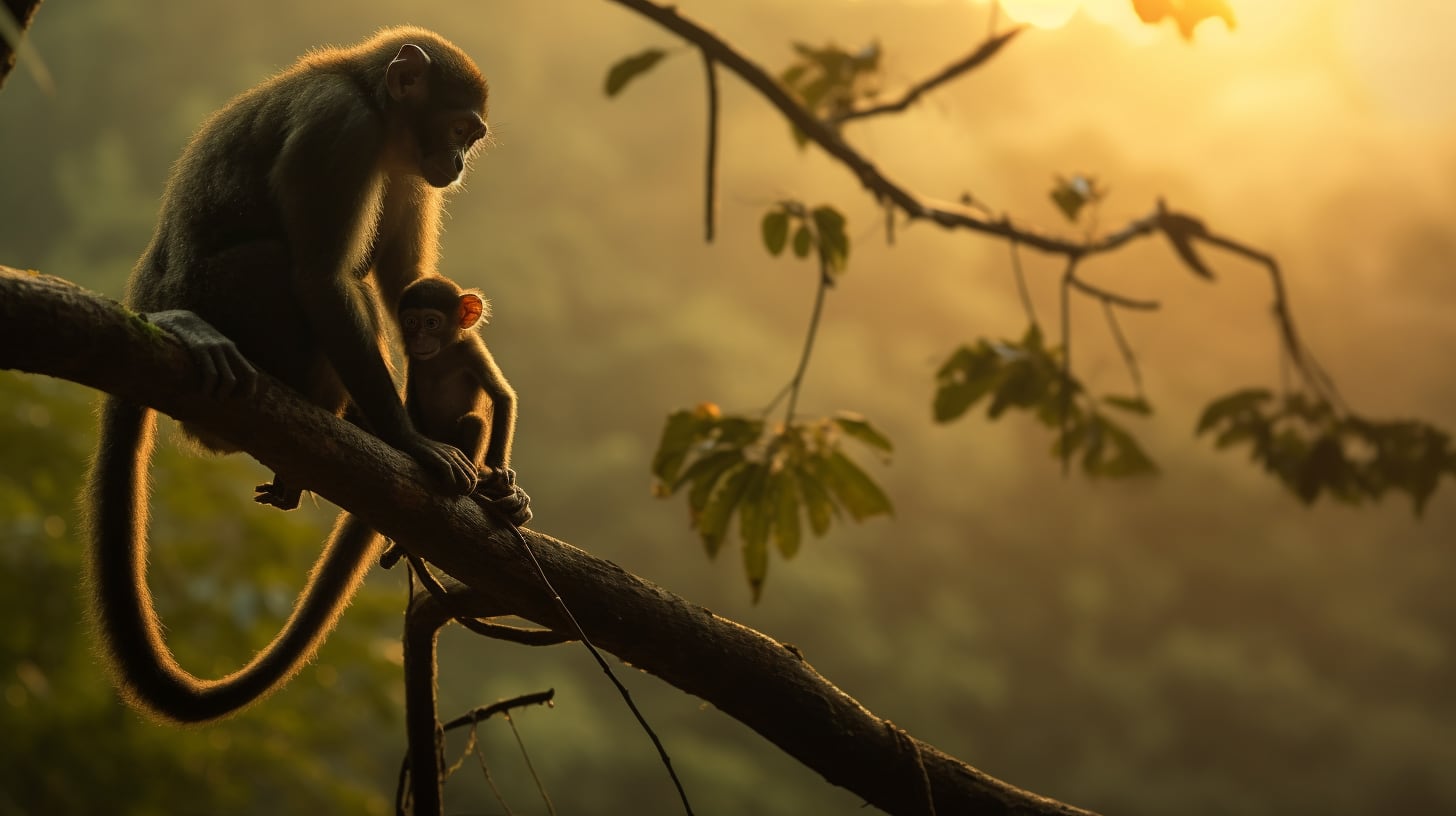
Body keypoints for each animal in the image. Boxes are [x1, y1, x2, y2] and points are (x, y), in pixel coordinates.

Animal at [86, 27, 491, 723]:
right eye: (459, 128)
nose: (460, 162)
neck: (372, 100)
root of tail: (147, 295)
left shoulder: (407, 169)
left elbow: (408, 285)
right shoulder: (341, 129)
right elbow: (322, 280)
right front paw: (410, 440)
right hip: (228, 294)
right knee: (292, 267)